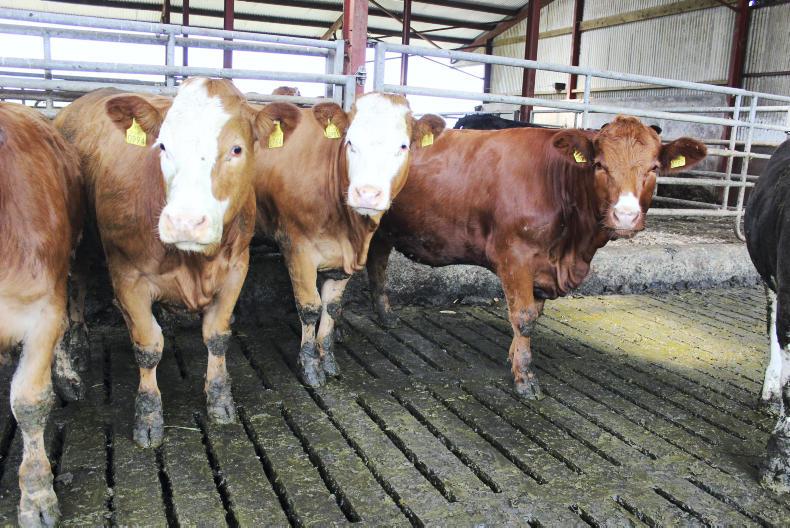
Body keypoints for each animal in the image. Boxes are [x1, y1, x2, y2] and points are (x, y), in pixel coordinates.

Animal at [55, 78, 294, 448]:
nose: (184, 222)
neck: (193, 261)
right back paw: (76, 352)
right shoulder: (127, 276)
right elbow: (148, 346)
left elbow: (217, 336)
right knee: (76, 287)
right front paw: (148, 416)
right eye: (163, 146)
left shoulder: (236, 269)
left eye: (237, 149)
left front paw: (220, 399)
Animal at [253, 93, 445, 386]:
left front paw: (328, 358)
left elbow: (331, 308)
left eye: (403, 146)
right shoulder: (297, 248)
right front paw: (310, 366)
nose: (367, 193)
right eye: (350, 142)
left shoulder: (343, 259)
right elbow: (310, 308)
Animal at [366, 116, 707, 398]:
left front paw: (514, 357)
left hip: (383, 229)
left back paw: (386, 315)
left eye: (654, 168)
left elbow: (534, 316)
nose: (625, 215)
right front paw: (525, 378)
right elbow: (524, 317)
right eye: (599, 165)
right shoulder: (513, 256)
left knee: (377, 263)